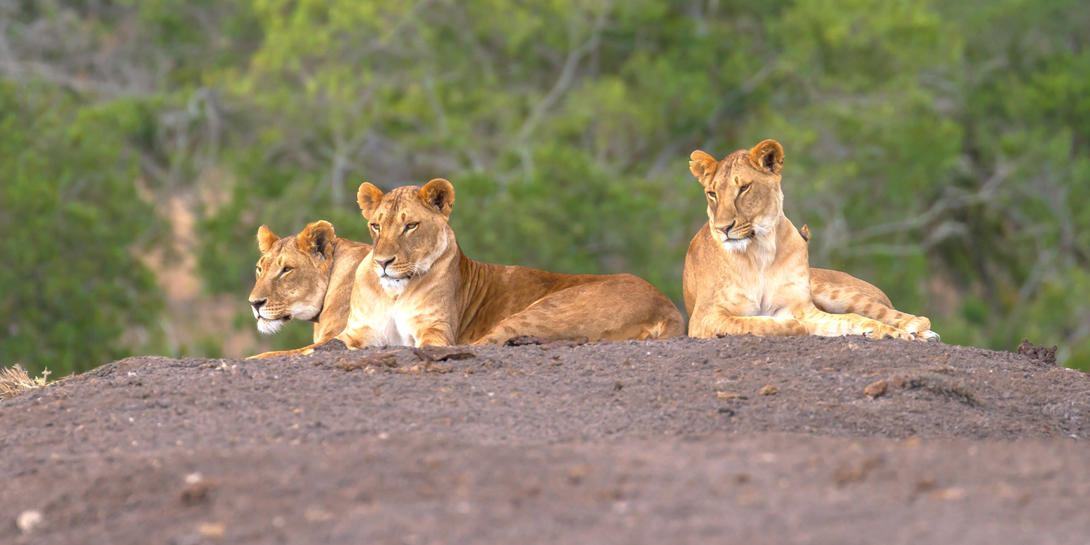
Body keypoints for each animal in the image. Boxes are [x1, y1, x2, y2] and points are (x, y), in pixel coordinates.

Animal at [250, 175, 684, 357]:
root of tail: (669, 306)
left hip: (543, 309)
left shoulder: (435, 332)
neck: (394, 292)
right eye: (375, 226)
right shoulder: (356, 334)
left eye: (410, 226)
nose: (254, 304)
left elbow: (288, 354)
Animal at [680, 137, 937, 340]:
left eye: (744, 188)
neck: (760, 249)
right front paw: (790, 324)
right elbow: (750, 323)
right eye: (712, 194)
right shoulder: (704, 317)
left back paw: (917, 330)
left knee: (912, 317)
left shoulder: (802, 307)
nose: (723, 228)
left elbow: (849, 318)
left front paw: (892, 332)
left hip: (833, 291)